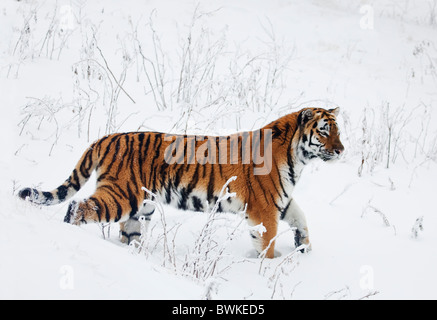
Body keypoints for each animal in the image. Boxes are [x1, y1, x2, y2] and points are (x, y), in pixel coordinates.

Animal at [17, 107, 344, 258]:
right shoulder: (264, 210)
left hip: (142, 207)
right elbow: (268, 244)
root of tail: (108, 137)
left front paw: (303, 248)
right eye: (324, 131)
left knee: (128, 233)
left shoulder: (280, 202)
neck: (298, 158)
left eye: (338, 131)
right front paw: (267, 267)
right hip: (121, 195)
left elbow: (301, 218)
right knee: (79, 207)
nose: (342, 150)